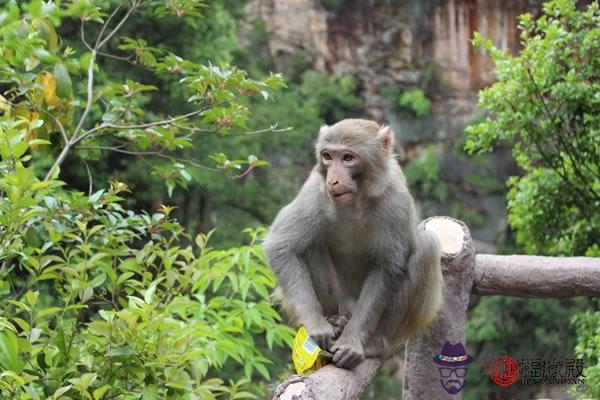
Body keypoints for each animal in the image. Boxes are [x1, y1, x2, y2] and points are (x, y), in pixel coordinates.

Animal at [262, 119, 440, 368]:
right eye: (327, 156)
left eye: (347, 158)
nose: (333, 180)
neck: (356, 201)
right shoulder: (314, 191)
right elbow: (281, 247)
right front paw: (317, 325)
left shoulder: (397, 201)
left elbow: (388, 268)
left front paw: (352, 341)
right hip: (337, 299)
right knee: (309, 244)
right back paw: (335, 321)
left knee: (426, 247)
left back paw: (376, 342)